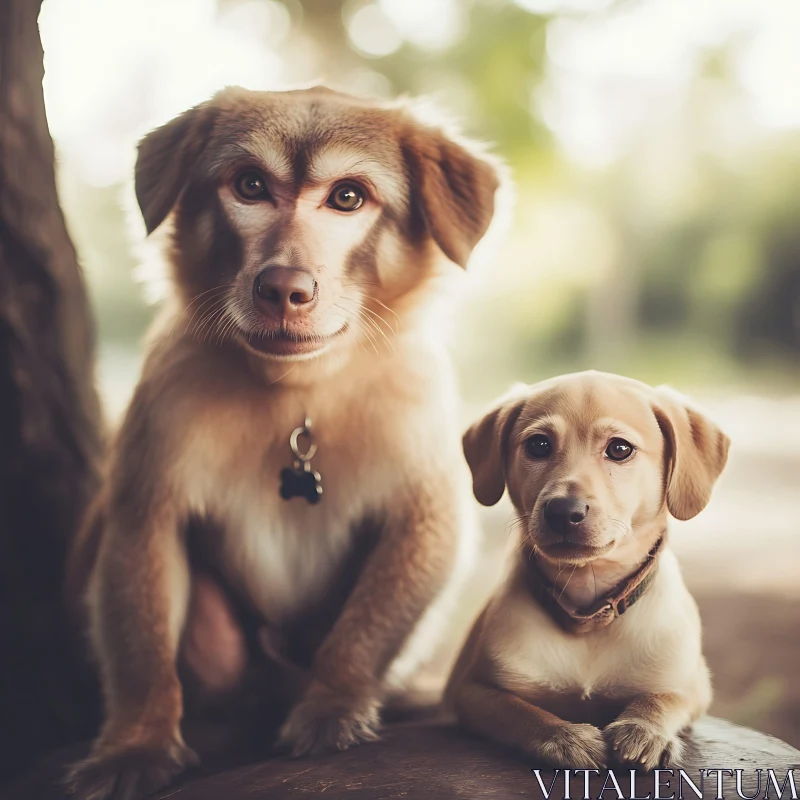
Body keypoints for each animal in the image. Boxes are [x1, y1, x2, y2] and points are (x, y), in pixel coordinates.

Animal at [65, 87, 500, 800]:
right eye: (250, 186)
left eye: (348, 197)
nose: (283, 287)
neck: (301, 389)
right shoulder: (165, 421)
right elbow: (140, 598)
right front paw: (137, 739)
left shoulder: (417, 432)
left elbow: (388, 589)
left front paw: (332, 703)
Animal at [446, 372, 728, 772]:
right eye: (538, 445)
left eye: (620, 449)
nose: (564, 511)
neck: (587, 614)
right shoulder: (472, 691)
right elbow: (520, 711)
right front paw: (566, 738)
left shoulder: (692, 685)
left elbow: (661, 699)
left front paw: (644, 731)